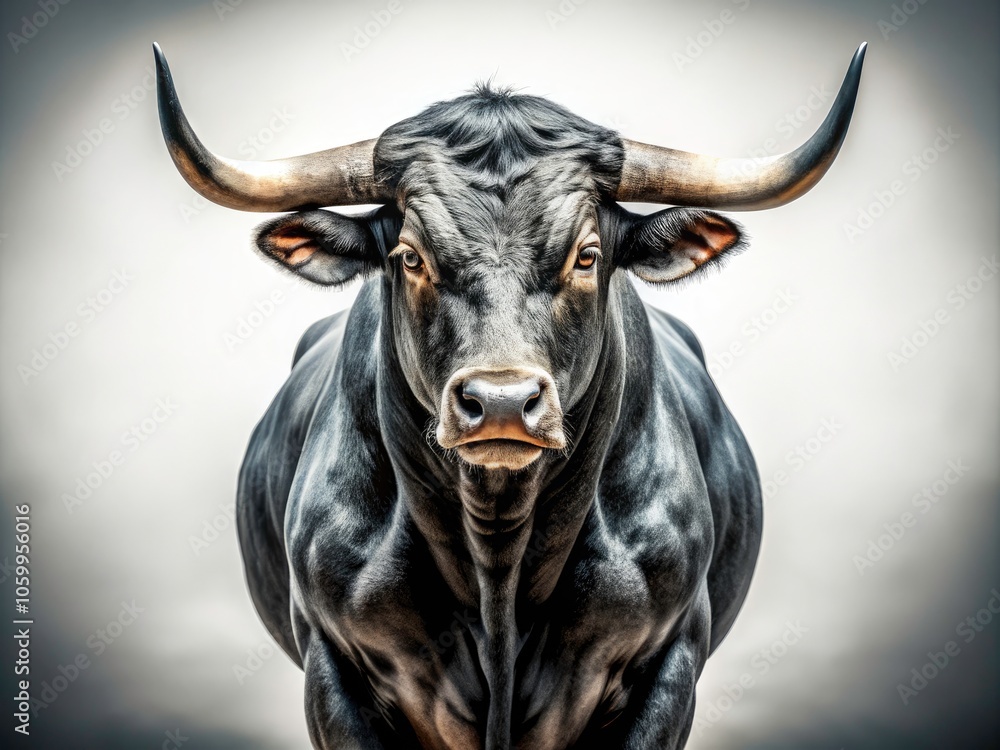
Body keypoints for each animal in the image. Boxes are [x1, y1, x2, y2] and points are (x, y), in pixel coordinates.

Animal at [154, 42, 866, 749]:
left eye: (586, 255)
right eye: (410, 257)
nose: (500, 402)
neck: (498, 562)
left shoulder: (671, 661)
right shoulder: (332, 669)